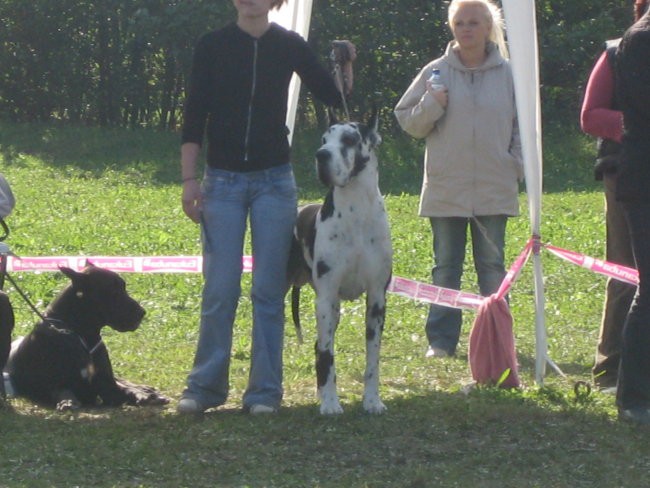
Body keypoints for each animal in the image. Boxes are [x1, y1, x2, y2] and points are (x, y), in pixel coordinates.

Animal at [0, 264, 167, 410]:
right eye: (113, 292)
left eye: (123, 288)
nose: (142, 313)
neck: (81, 335)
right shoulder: (51, 384)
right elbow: (62, 391)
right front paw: (67, 402)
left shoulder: (108, 386)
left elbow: (122, 389)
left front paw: (141, 394)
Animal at [288, 111, 390, 416]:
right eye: (324, 139)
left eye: (349, 139)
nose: (321, 154)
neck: (356, 209)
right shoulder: (325, 298)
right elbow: (327, 354)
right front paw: (331, 403)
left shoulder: (377, 299)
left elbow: (372, 358)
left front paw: (372, 401)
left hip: (335, 310)